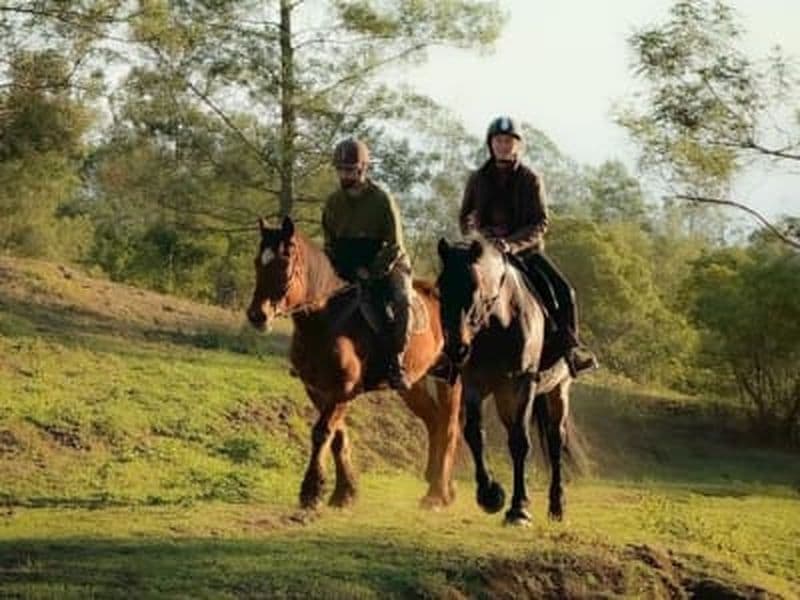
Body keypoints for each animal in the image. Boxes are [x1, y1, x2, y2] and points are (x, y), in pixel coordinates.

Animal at [246, 216, 461, 510]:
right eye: (258, 262)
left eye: (283, 264)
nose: (258, 316)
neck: (327, 319)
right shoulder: (317, 389)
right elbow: (337, 436)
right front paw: (345, 492)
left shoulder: (343, 390)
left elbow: (322, 432)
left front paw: (311, 491)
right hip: (412, 383)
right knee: (433, 420)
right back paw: (440, 487)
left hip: (448, 377)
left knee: (449, 427)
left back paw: (437, 495)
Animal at [436, 236, 573, 526]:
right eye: (441, 289)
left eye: (475, 288)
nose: (457, 349)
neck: (501, 322)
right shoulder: (474, 384)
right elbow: (474, 433)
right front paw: (489, 494)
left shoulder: (522, 384)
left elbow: (521, 441)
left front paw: (519, 508)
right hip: (503, 397)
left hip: (557, 390)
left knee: (555, 441)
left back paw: (557, 505)